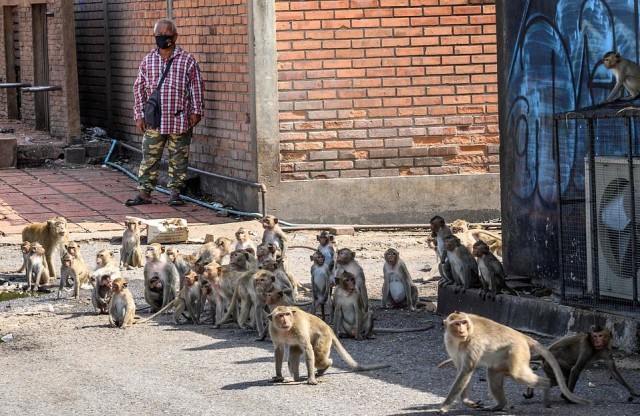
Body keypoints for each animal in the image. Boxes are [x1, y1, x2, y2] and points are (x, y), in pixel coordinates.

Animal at [440, 312, 592, 412]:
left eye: (464, 322)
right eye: (457, 324)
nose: (462, 330)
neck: (460, 340)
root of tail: (523, 336)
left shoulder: (473, 343)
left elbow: (466, 371)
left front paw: (444, 407)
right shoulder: (450, 345)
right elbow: (463, 370)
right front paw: (467, 402)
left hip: (517, 351)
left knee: (517, 374)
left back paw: (546, 385)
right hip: (503, 358)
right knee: (493, 373)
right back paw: (499, 405)